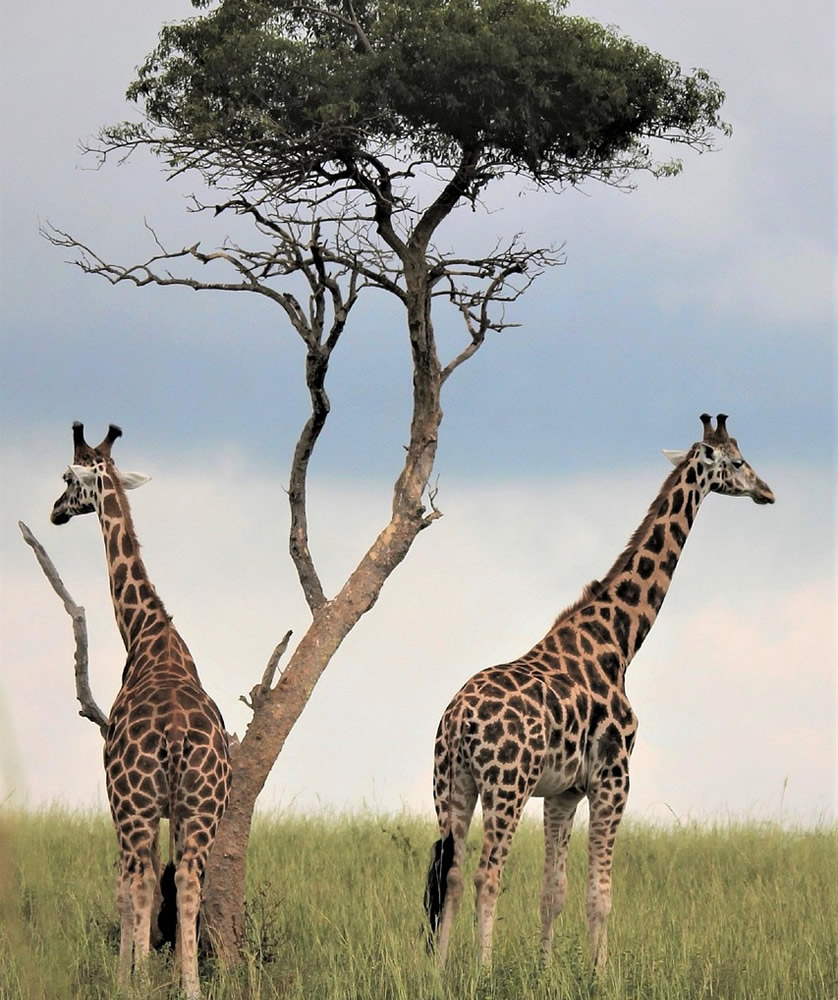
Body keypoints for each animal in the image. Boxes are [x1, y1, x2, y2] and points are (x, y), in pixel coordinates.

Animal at [50, 422, 232, 1000]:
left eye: (69, 478)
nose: (55, 512)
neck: (147, 631)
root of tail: (174, 734)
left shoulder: (121, 802)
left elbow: (129, 887)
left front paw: (128, 977)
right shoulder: (174, 810)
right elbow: (165, 883)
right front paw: (165, 974)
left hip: (133, 804)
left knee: (138, 880)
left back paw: (141, 980)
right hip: (203, 806)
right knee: (189, 880)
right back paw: (191, 987)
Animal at [424, 414, 774, 968]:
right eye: (738, 461)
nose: (766, 492)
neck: (619, 643)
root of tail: (459, 720)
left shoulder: (563, 791)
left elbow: (554, 892)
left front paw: (545, 971)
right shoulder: (614, 779)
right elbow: (600, 895)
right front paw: (598, 973)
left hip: (451, 783)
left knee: (453, 874)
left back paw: (437, 974)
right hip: (506, 785)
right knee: (486, 874)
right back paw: (482, 971)